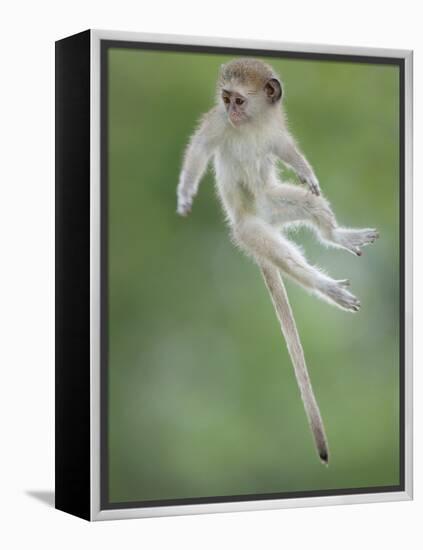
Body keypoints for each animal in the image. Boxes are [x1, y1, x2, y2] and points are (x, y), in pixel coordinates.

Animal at [177, 59, 380, 466]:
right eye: (226, 99)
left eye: (239, 99)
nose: (231, 111)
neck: (251, 124)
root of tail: (260, 218)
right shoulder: (217, 123)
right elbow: (201, 148)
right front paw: (186, 192)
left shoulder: (274, 130)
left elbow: (286, 149)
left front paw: (306, 171)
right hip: (251, 231)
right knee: (282, 255)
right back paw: (325, 285)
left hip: (275, 201)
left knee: (312, 204)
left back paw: (337, 236)